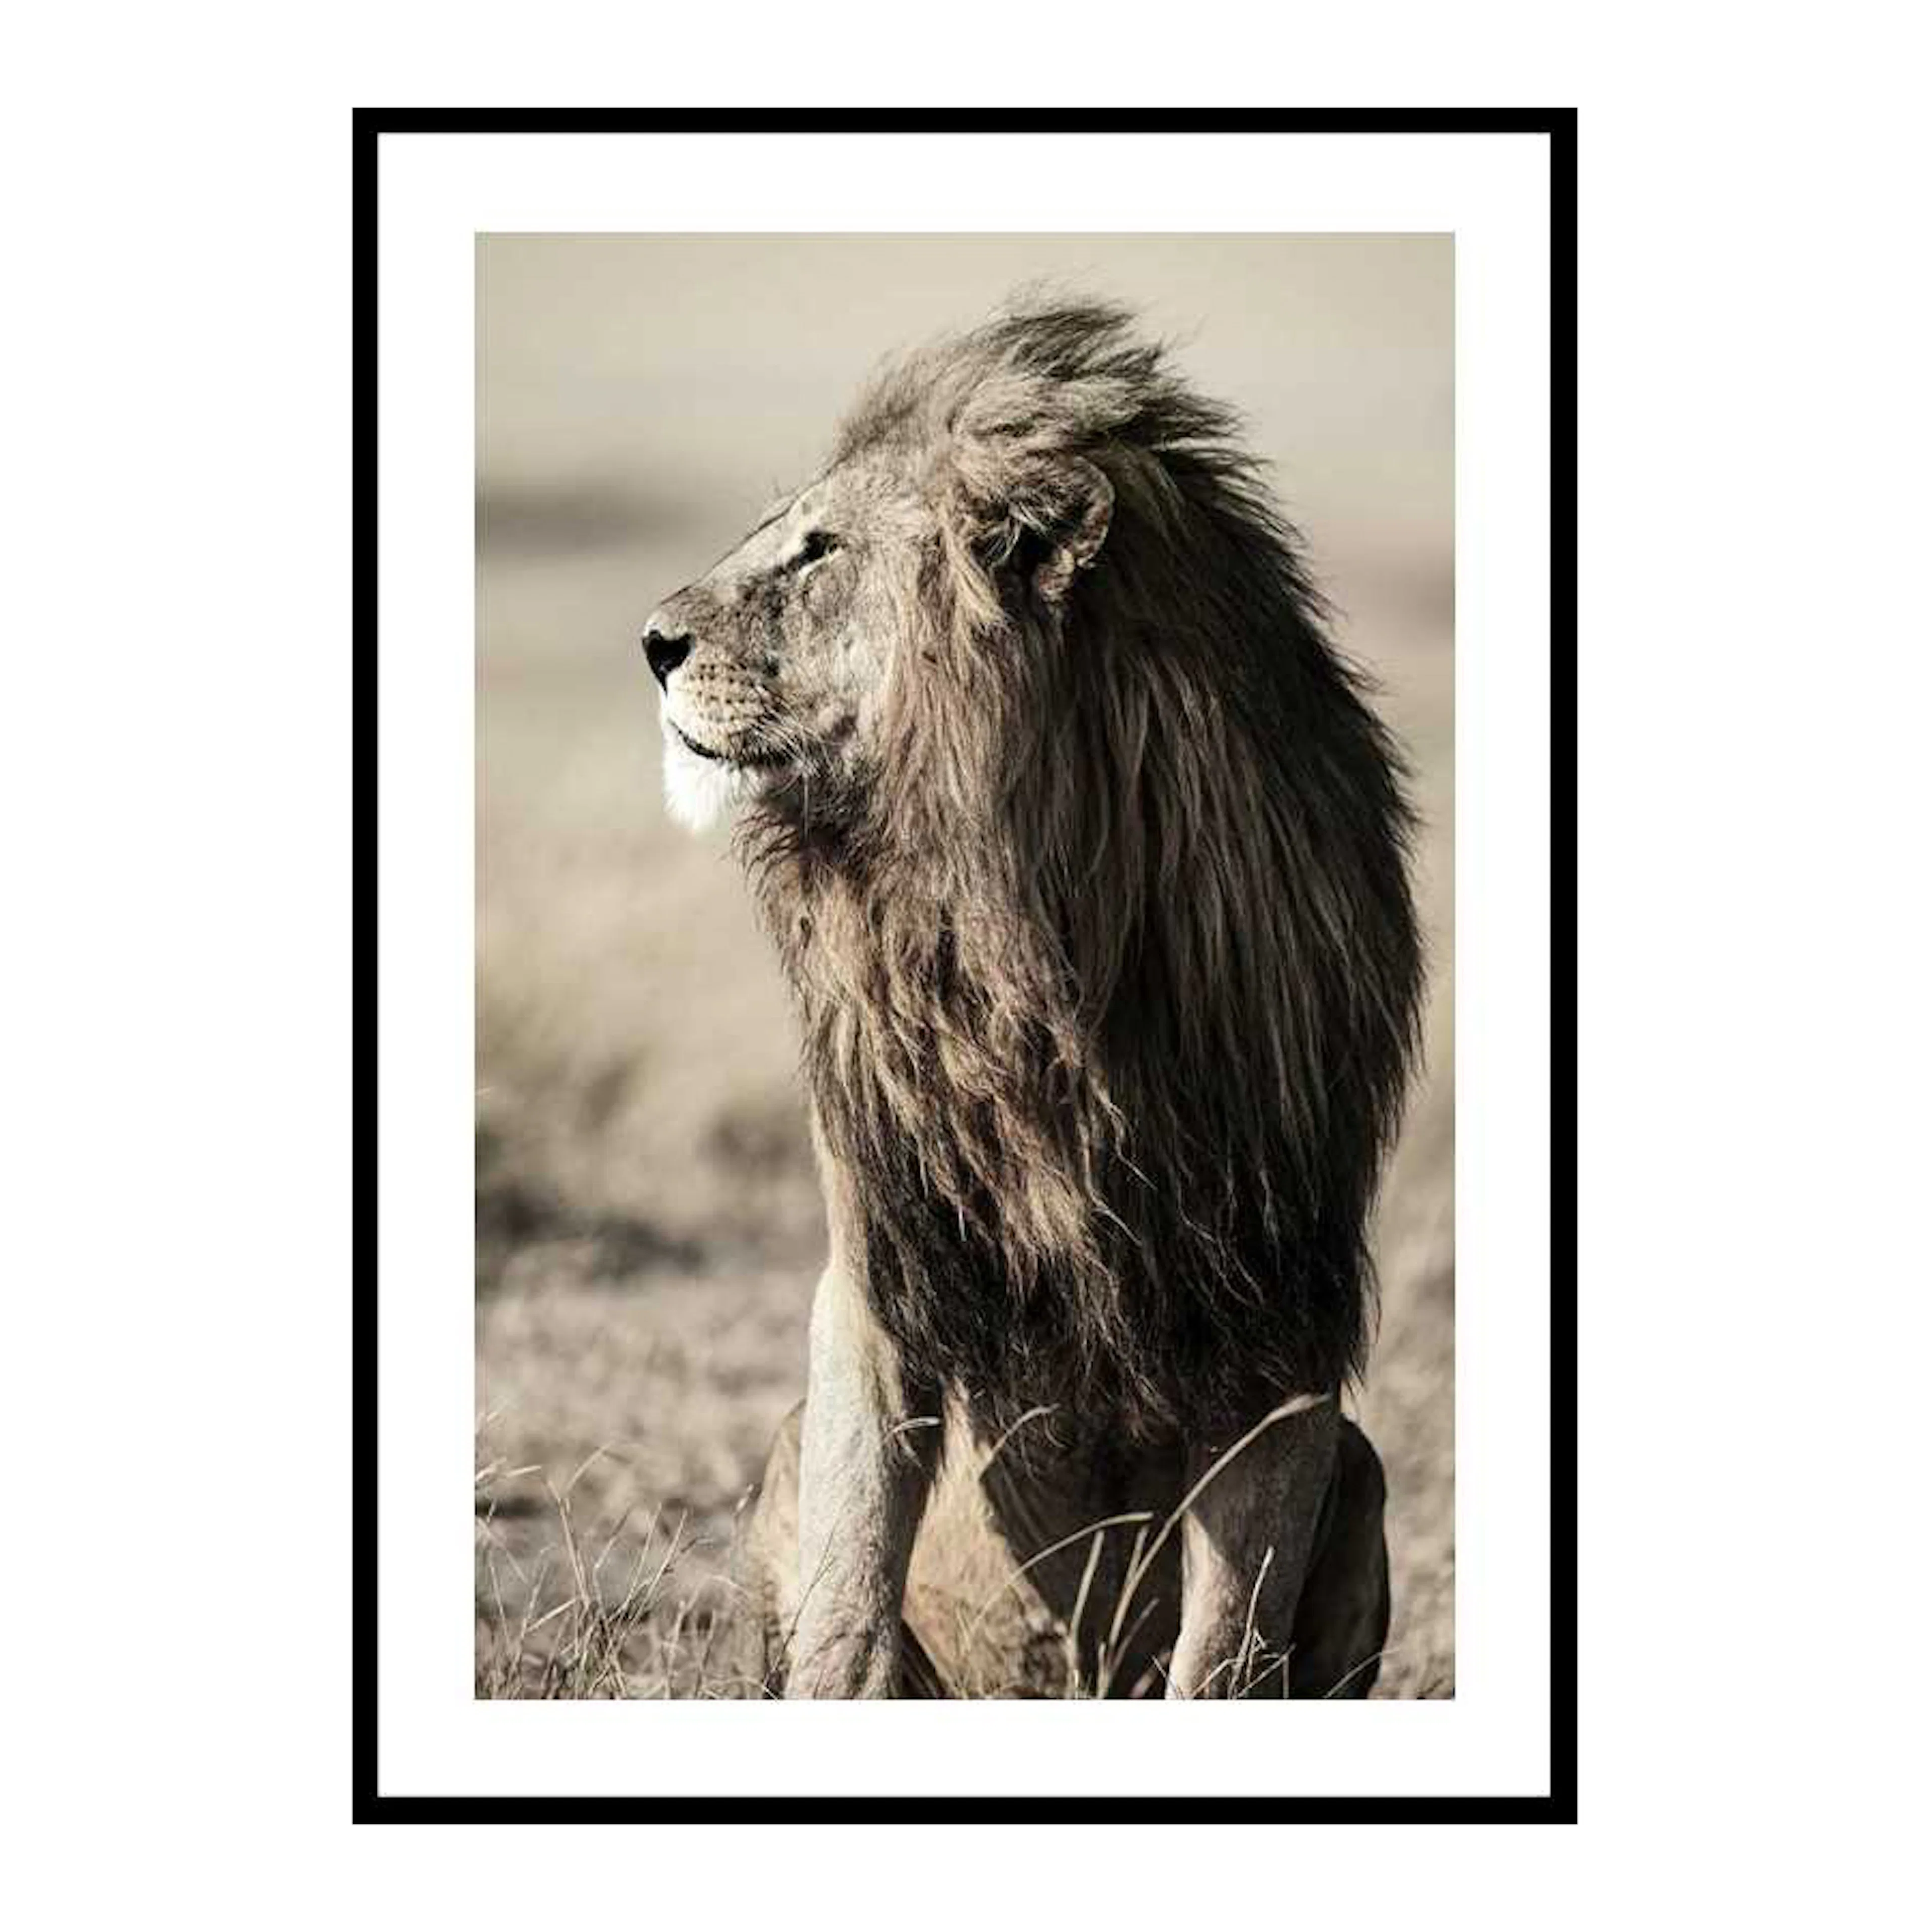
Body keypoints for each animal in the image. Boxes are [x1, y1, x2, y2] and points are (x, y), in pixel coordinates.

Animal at [641, 297, 1422, 1697]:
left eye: (817, 551)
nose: (651, 643)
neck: (1014, 936)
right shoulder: (877, 1264)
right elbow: (849, 1593)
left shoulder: (1286, 1313)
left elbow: (1226, 1646)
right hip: (784, 1443)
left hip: (1368, 1470)